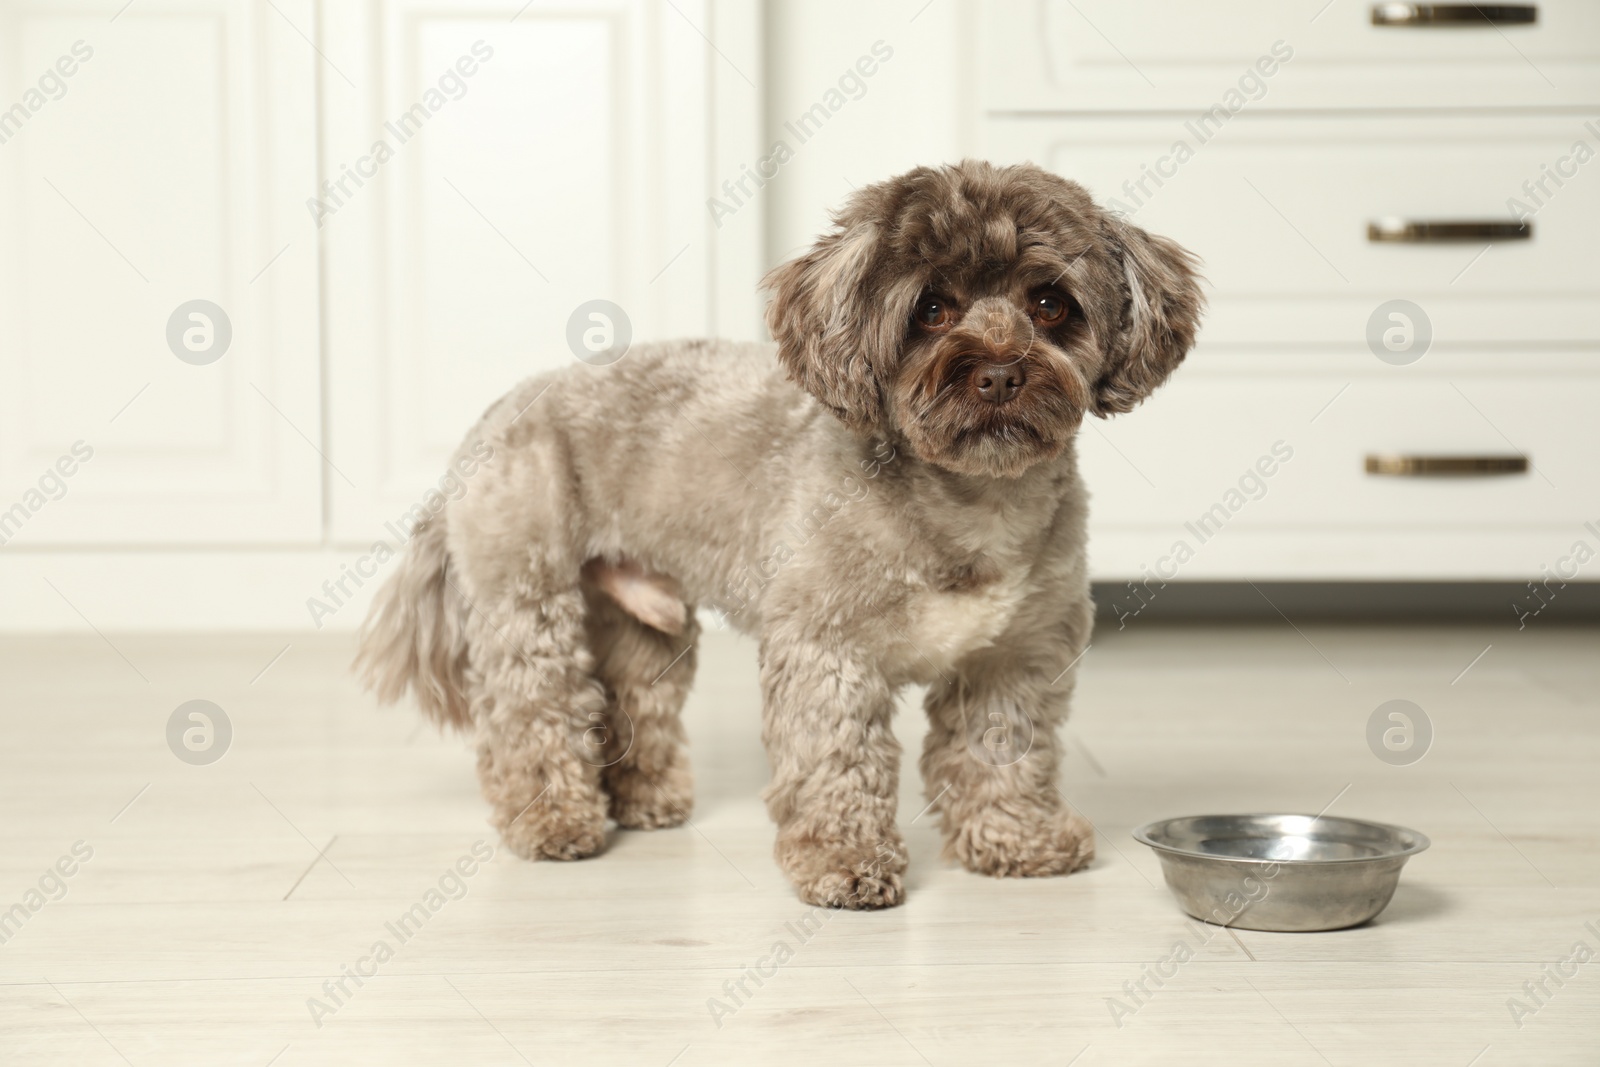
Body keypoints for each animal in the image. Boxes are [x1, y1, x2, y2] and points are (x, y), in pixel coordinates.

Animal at [353, 158, 1203, 908]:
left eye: (1051, 303)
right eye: (930, 309)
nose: (997, 372)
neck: (967, 499)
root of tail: (500, 408)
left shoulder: (1013, 659)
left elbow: (1003, 753)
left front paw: (1017, 839)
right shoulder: (827, 649)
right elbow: (837, 760)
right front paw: (844, 861)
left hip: (642, 620)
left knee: (631, 696)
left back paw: (643, 798)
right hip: (528, 598)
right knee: (533, 711)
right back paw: (554, 819)